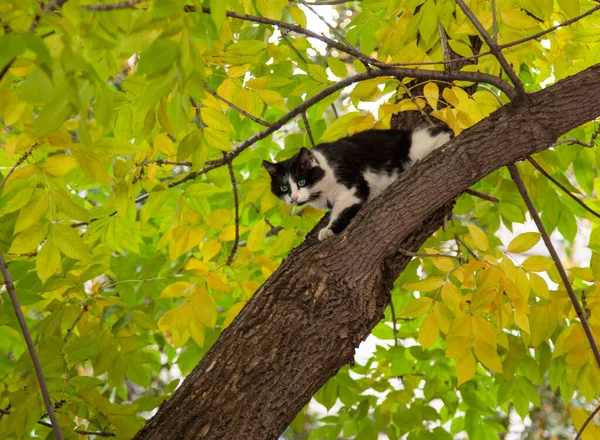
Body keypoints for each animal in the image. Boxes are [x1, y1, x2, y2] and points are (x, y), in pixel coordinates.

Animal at [260, 123, 452, 241]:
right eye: (284, 187)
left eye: (301, 181)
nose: (293, 198)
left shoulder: (351, 185)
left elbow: (342, 208)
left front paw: (328, 230)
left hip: (413, 143)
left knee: (443, 135)